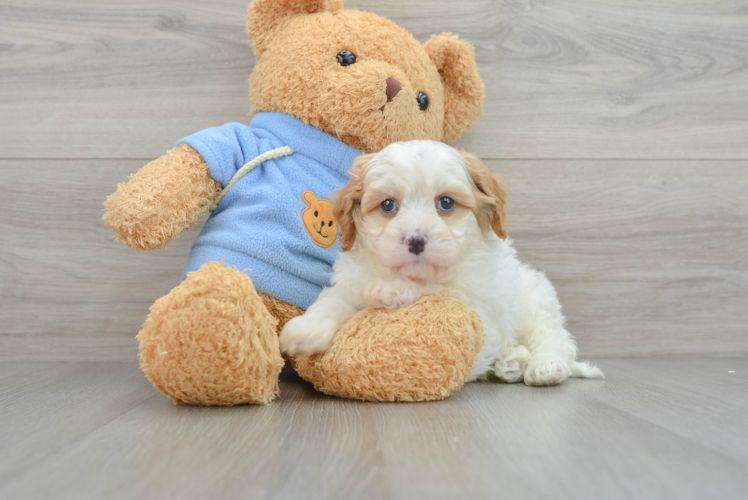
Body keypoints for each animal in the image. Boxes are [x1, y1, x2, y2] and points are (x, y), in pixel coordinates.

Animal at [280, 141, 600, 386]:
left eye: (446, 203)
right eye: (387, 205)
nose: (416, 241)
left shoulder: (479, 305)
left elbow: (437, 290)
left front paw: (392, 289)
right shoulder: (350, 282)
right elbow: (333, 301)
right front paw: (305, 330)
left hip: (536, 302)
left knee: (555, 338)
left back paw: (545, 366)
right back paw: (511, 362)